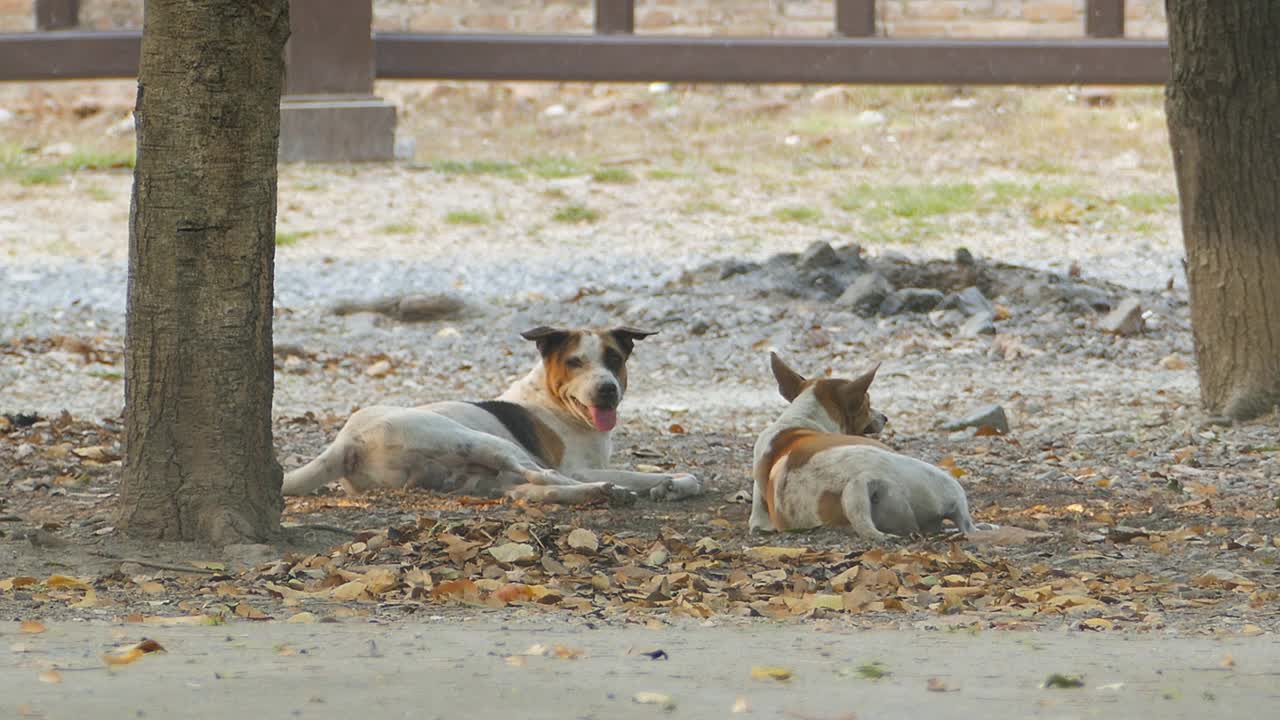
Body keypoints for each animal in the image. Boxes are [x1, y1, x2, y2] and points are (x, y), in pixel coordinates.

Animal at [282, 326, 701, 502]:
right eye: (575, 362)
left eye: (614, 359)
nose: (606, 390)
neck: (554, 403)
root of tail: (347, 441)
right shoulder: (577, 465)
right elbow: (658, 474)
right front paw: (666, 484)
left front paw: (670, 486)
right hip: (480, 441)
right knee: (542, 475)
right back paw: (606, 490)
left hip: (473, 478)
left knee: (528, 490)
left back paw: (600, 494)